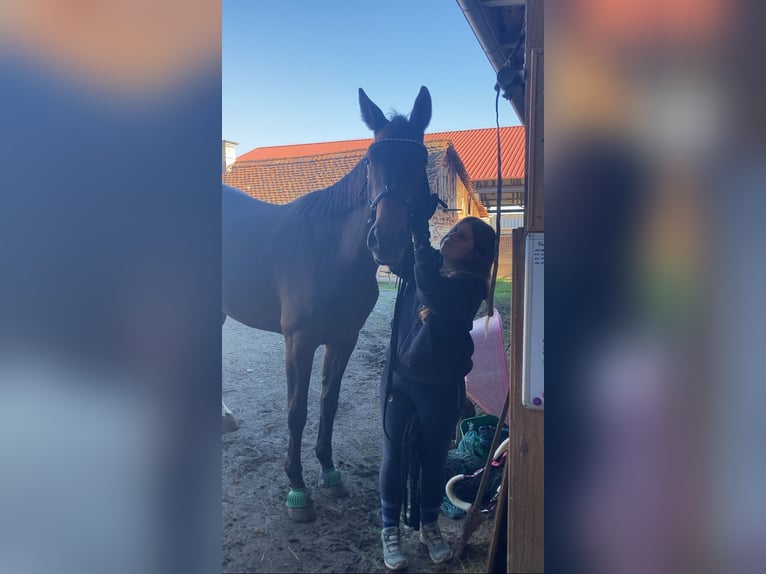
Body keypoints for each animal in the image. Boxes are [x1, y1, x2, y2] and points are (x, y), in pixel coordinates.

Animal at [225, 88, 436, 524]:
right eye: (371, 161)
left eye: (420, 160)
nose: (387, 240)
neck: (332, 252)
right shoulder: (298, 341)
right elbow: (297, 410)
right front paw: (297, 488)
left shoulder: (343, 340)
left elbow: (328, 402)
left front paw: (329, 471)